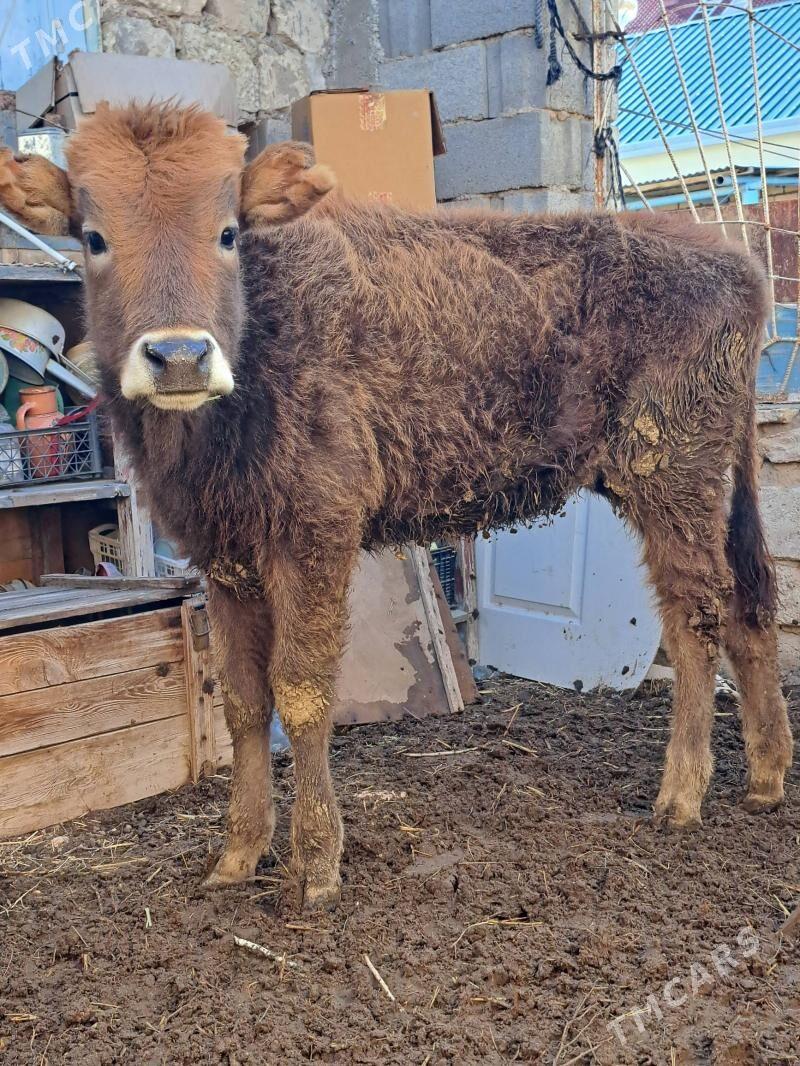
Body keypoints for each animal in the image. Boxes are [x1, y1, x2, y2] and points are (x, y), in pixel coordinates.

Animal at [1, 102, 792, 911]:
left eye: (227, 231)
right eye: (93, 237)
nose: (180, 356)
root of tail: (733, 259)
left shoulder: (313, 536)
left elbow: (302, 691)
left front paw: (315, 866)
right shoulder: (223, 556)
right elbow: (244, 701)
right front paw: (237, 855)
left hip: (670, 479)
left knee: (697, 618)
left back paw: (681, 796)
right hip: (712, 482)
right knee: (750, 601)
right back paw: (764, 779)